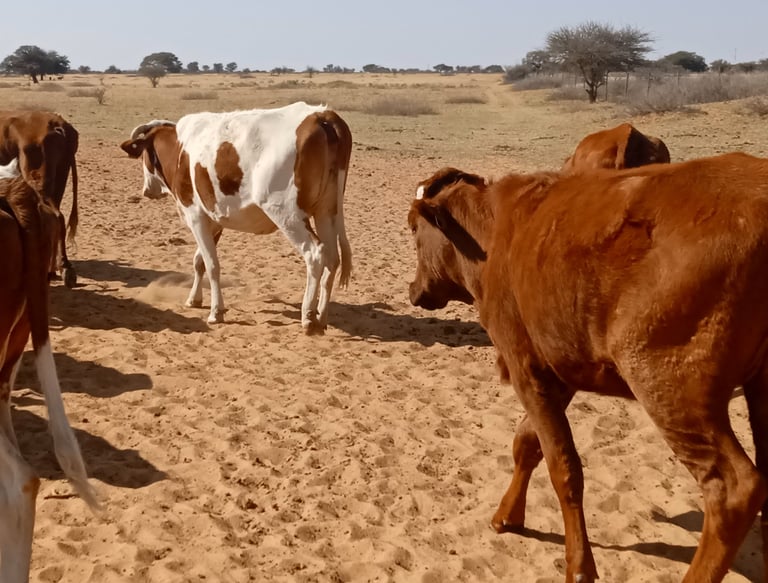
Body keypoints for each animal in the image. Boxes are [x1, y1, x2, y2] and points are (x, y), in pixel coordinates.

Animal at [0, 111, 80, 288]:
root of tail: (58, 125)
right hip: (59, 181)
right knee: (57, 220)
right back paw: (61, 268)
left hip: (39, 184)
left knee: (55, 217)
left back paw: (59, 268)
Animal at [120, 102, 353, 334]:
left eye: (144, 156)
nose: (146, 190)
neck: (180, 150)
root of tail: (321, 115)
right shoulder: (214, 221)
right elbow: (199, 261)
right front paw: (194, 299)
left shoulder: (195, 217)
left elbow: (212, 265)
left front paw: (216, 311)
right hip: (326, 213)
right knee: (332, 258)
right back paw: (321, 316)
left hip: (288, 215)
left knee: (315, 255)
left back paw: (308, 316)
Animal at [408, 156, 768, 582]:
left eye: (413, 230)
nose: (413, 290)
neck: (494, 237)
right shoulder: (559, 370)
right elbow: (527, 443)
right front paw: (508, 515)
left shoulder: (525, 367)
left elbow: (563, 467)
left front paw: (579, 564)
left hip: (672, 390)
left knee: (733, 491)